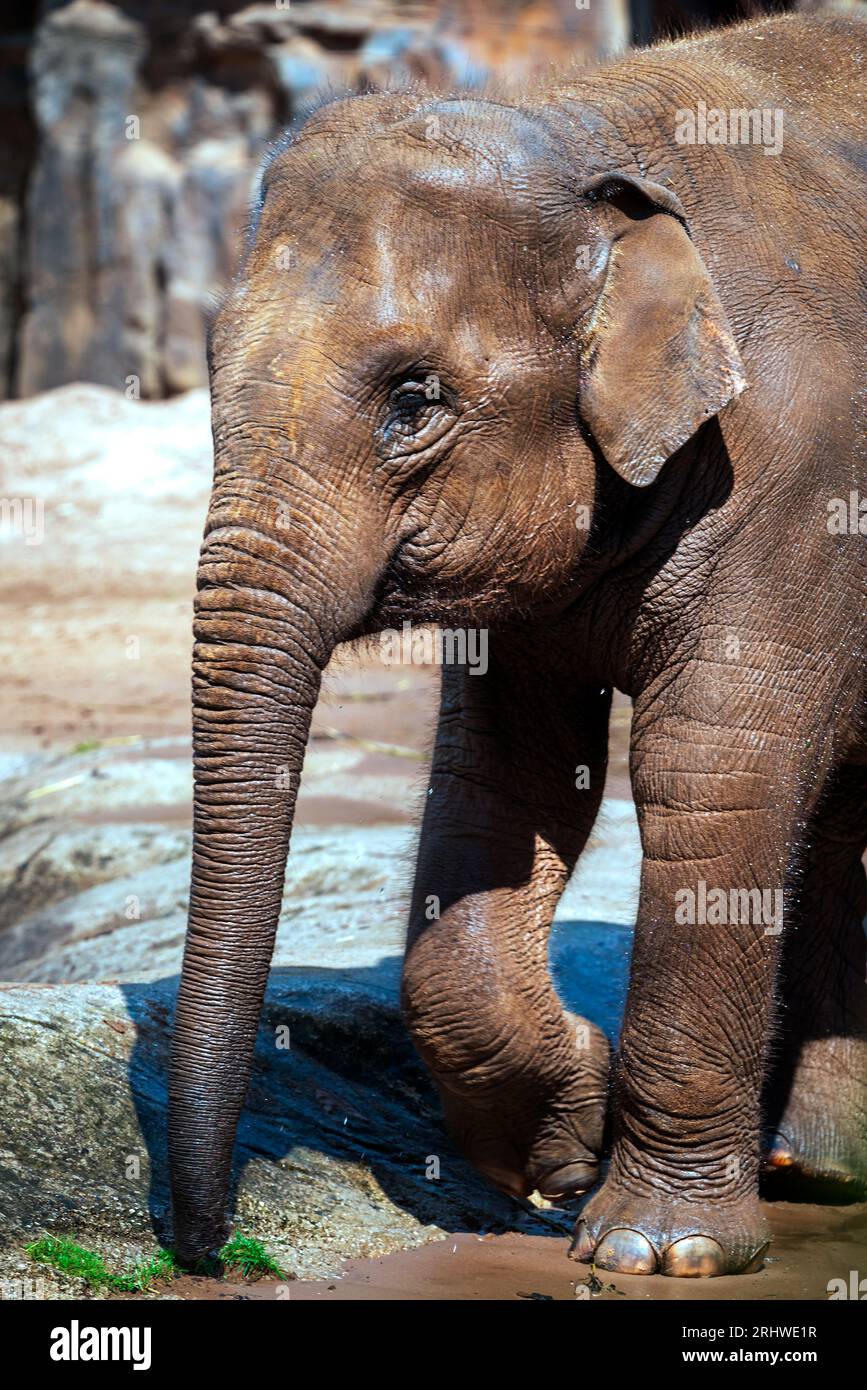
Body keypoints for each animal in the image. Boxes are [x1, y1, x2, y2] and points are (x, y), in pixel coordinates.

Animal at [169, 8, 867, 1278]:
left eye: (413, 398)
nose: (211, 1248)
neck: (585, 130)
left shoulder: (805, 473)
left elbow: (711, 772)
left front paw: (654, 1249)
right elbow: (505, 779)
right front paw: (555, 1151)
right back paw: (818, 1168)